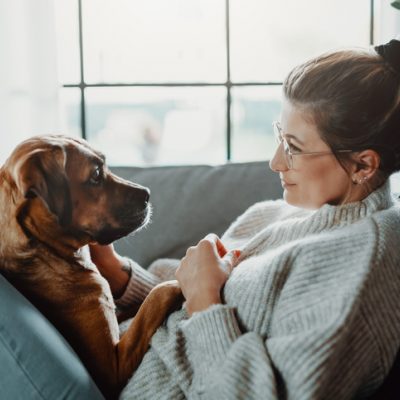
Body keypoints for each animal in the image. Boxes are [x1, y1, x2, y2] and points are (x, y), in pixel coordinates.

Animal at [0, 136, 184, 398]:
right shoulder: (112, 367)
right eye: (96, 174)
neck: (48, 252)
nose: (148, 194)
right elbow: (156, 298)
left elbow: (138, 307)